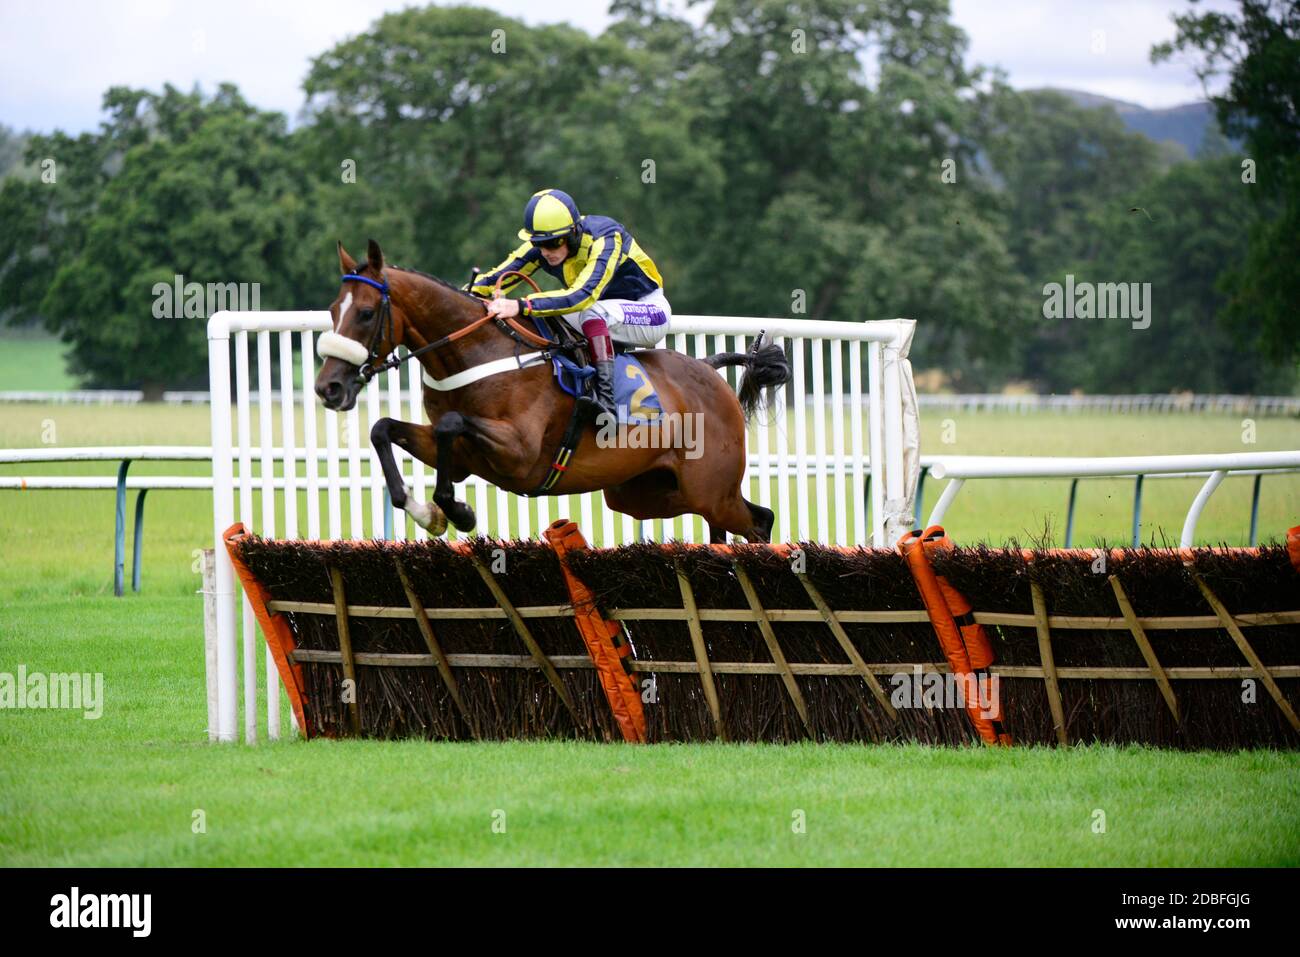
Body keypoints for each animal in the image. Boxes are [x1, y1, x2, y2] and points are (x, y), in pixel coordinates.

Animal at [312, 240, 790, 538]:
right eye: (333, 309)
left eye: (367, 313)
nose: (328, 388)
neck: (477, 351)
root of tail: (709, 369)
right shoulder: (465, 456)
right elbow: (383, 429)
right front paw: (429, 514)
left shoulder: (518, 452)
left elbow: (451, 422)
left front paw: (458, 511)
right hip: (644, 494)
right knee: (732, 522)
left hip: (711, 489)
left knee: (760, 522)